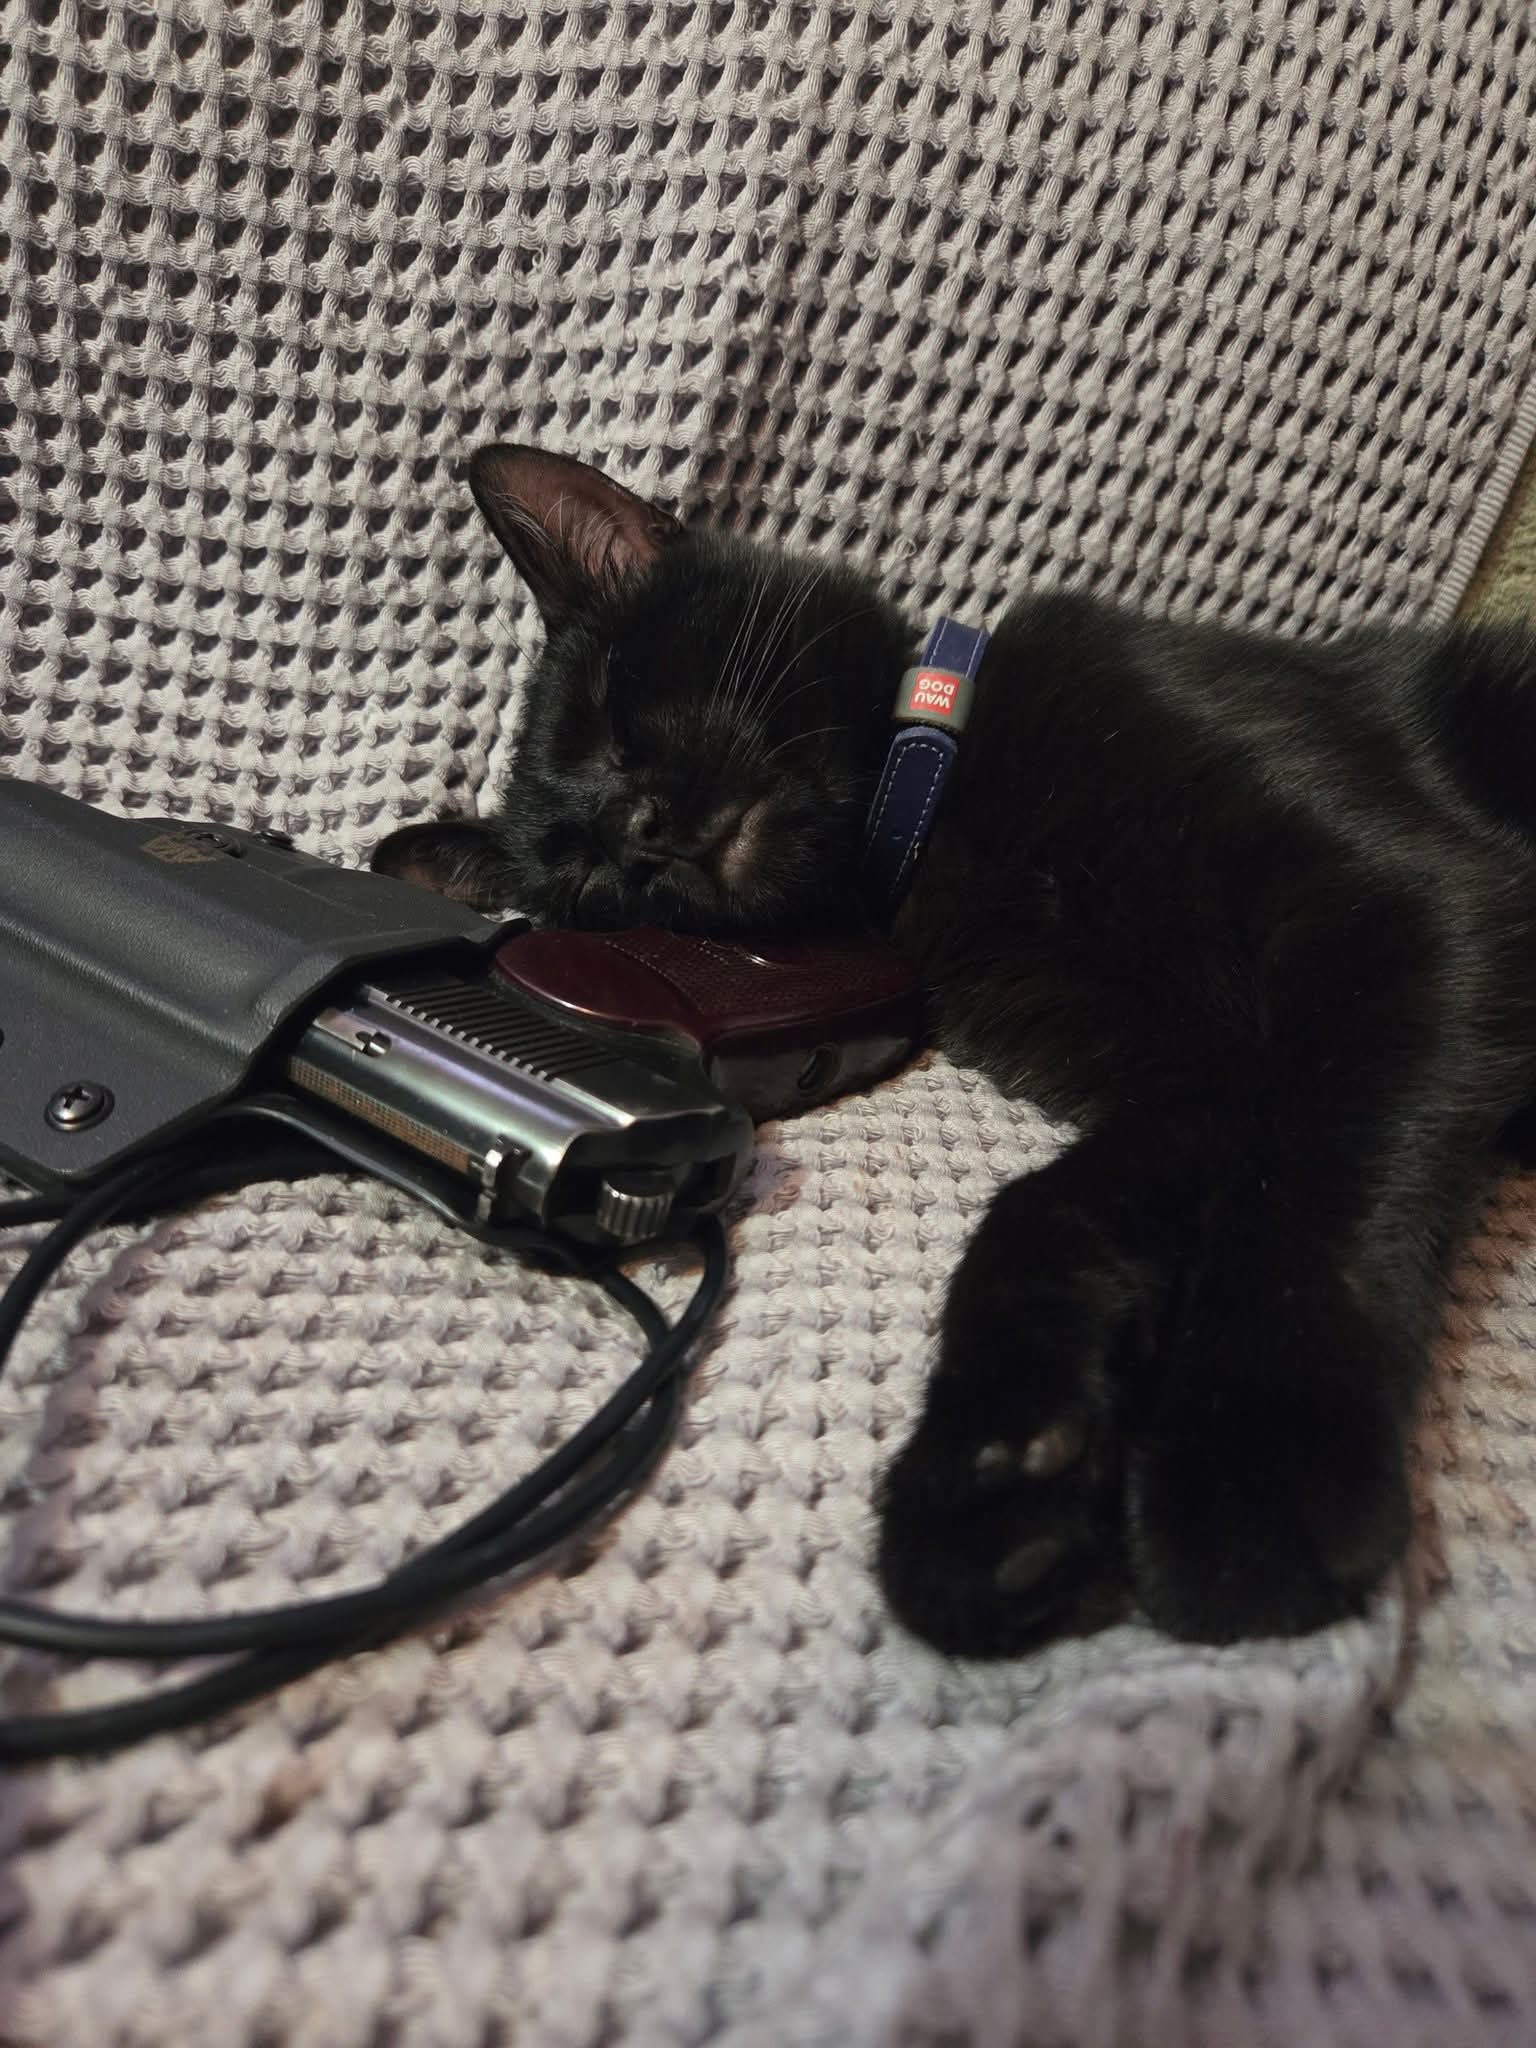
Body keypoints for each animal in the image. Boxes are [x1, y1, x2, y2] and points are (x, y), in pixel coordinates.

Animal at [376, 442, 1536, 1655]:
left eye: (612, 720)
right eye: (585, 881)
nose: (633, 834)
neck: (945, 828)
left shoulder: (1406, 905)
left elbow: (1320, 1177)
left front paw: (1253, 1470)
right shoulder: (1197, 1085)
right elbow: (1045, 1206)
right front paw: (996, 1482)